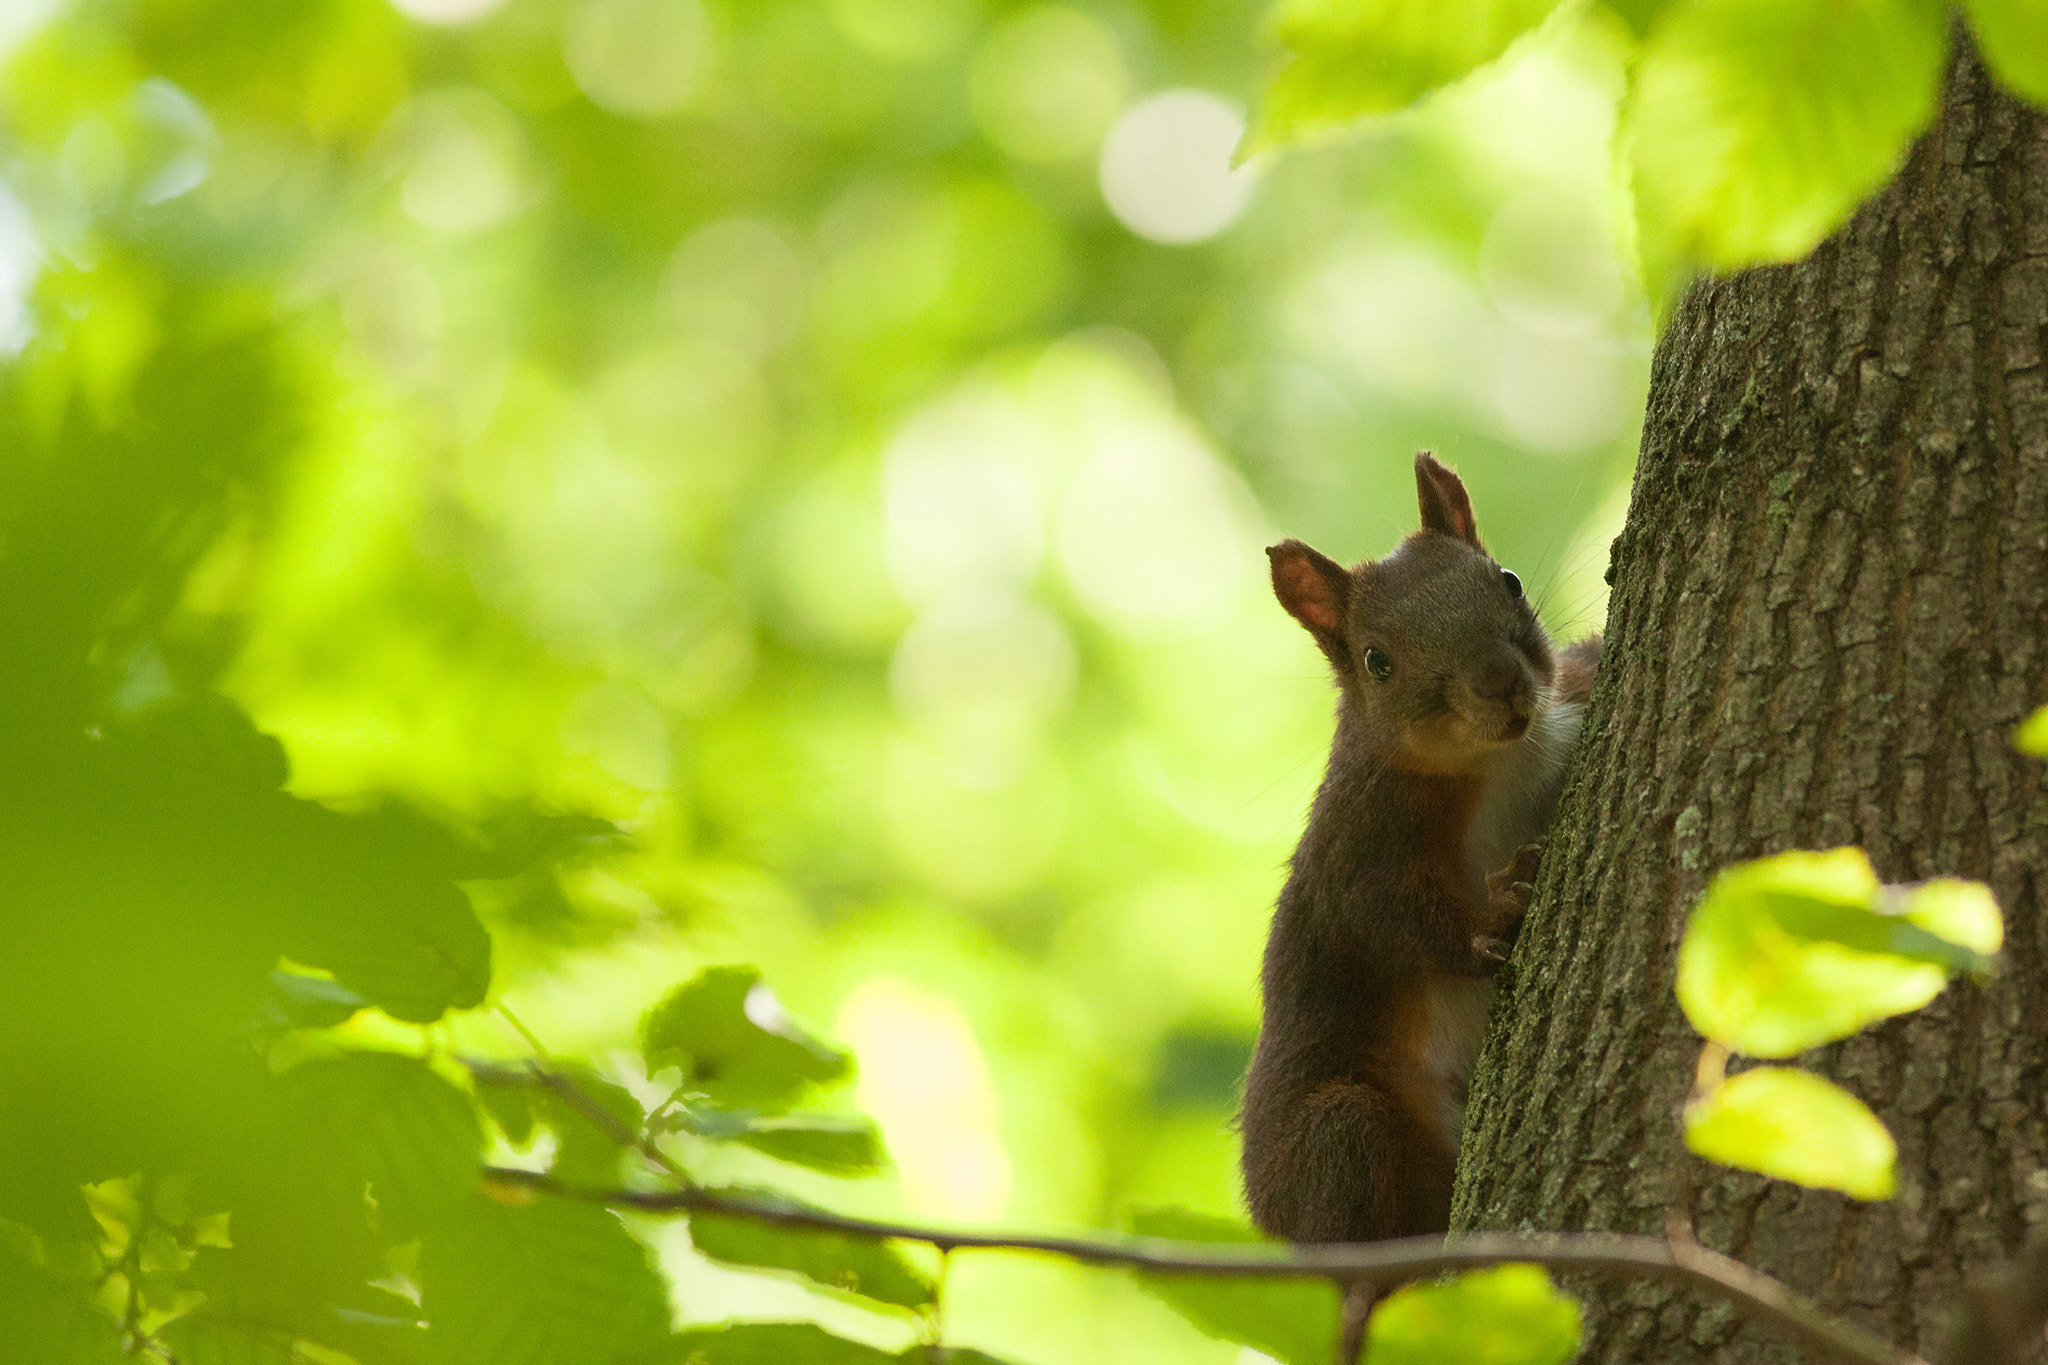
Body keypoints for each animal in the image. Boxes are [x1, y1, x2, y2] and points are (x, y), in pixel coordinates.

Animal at [1238, 451, 1600, 1244]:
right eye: (1377, 660)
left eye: (1509, 581)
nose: (1499, 682)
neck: (1499, 757)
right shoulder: (1358, 834)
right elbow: (1383, 913)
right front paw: (1498, 915)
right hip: (1338, 1138)